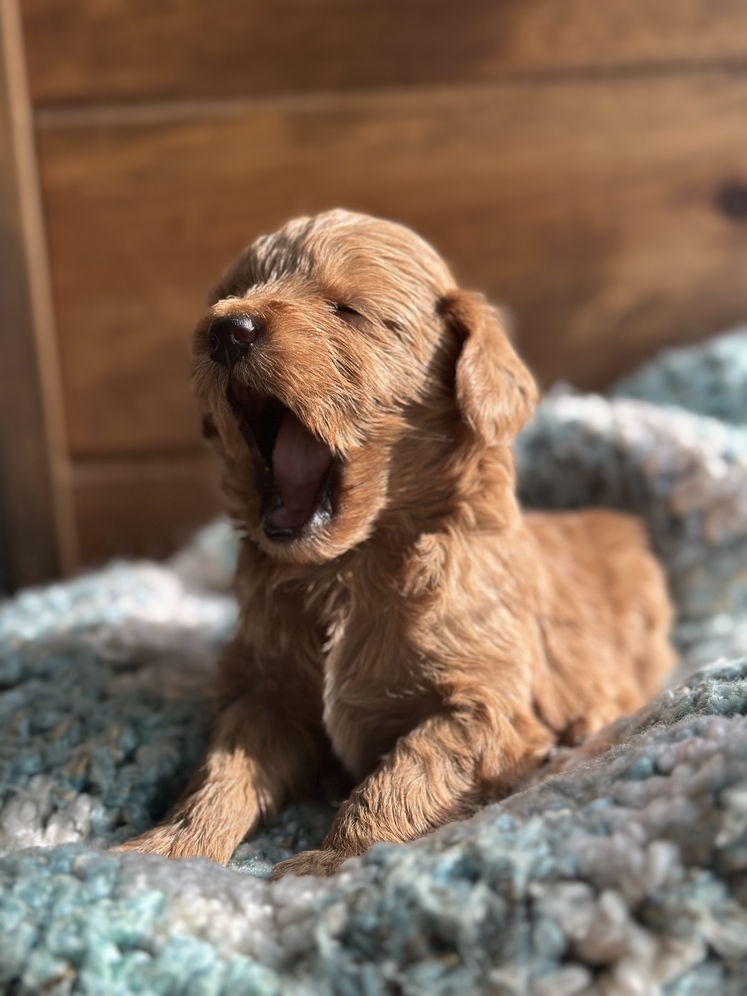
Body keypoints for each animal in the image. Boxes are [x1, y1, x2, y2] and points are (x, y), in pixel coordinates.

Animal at [118, 210, 675, 878]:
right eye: (229, 295)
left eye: (347, 310)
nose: (228, 329)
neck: (344, 568)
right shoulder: (263, 693)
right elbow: (220, 769)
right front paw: (167, 848)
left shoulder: (483, 705)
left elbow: (406, 771)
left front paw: (334, 860)